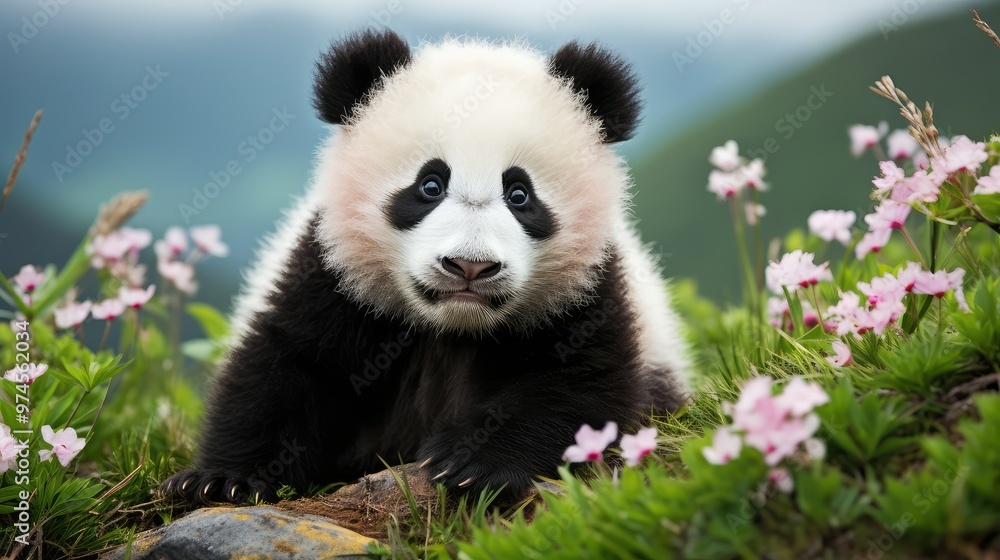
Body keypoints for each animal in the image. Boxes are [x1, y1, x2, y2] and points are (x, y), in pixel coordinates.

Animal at [162, 29, 692, 505]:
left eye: (520, 194)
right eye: (430, 185)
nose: (470, 266)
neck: (453, 327)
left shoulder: (588, 288)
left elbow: (576, 385)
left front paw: (472, 464)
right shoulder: (333, 272)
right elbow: (288, 365)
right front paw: (221, 480)